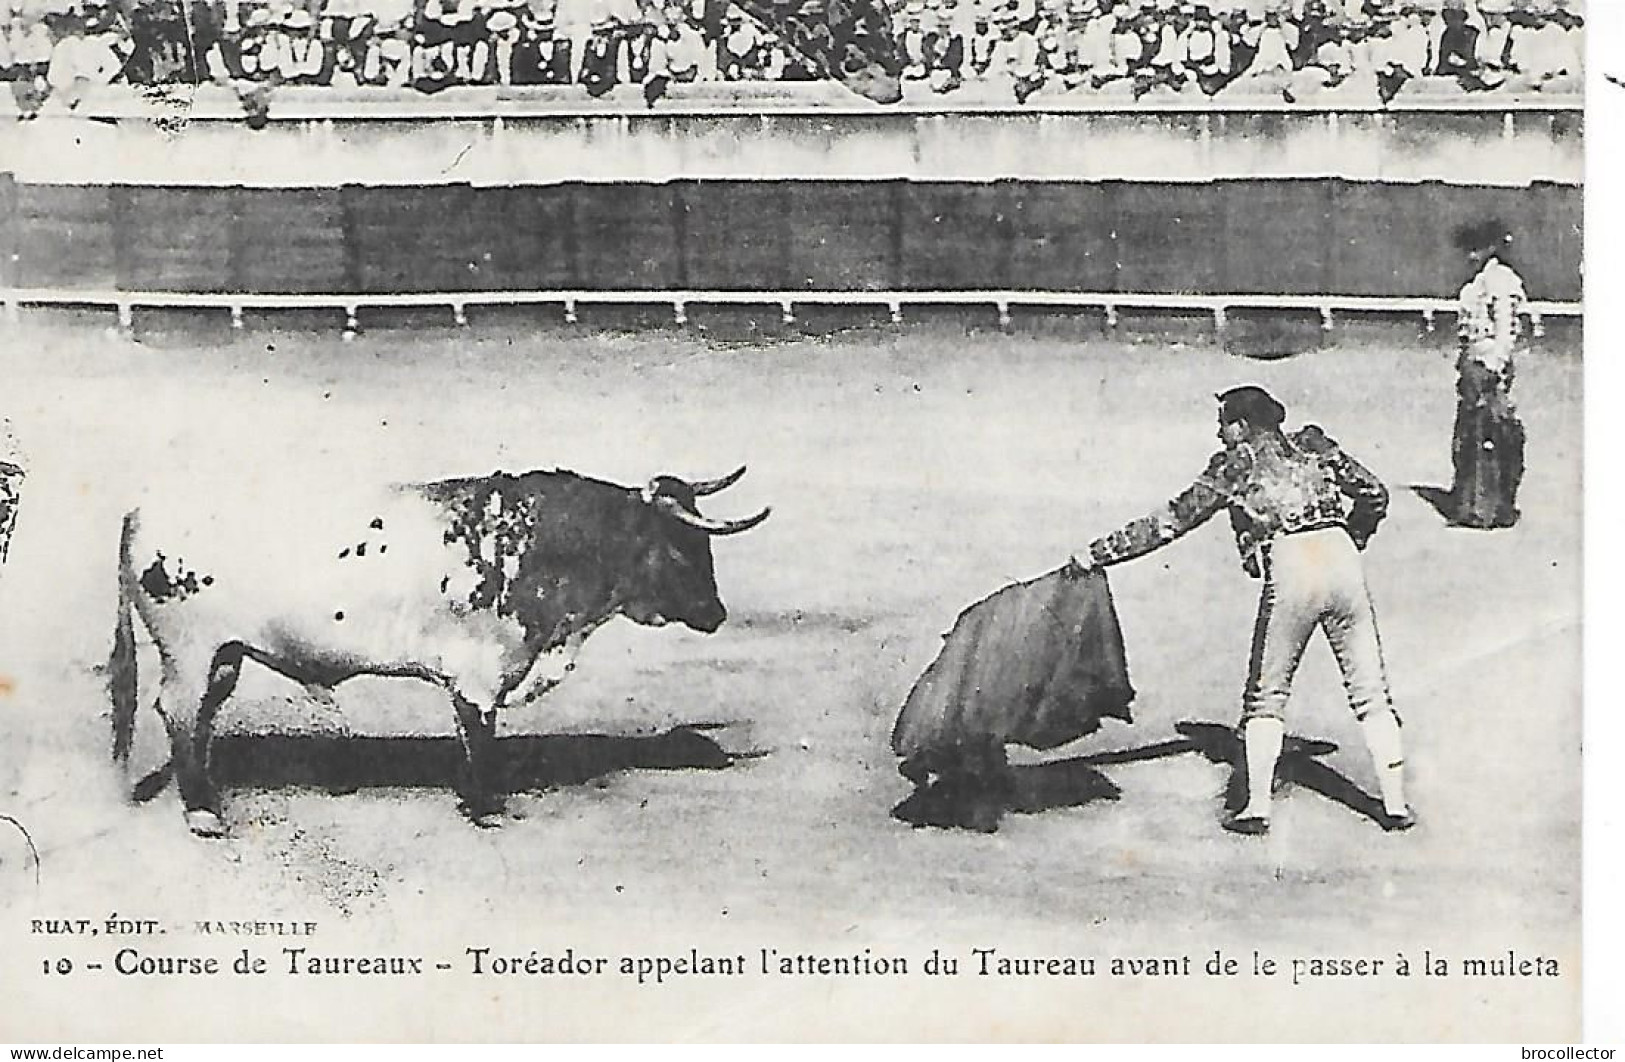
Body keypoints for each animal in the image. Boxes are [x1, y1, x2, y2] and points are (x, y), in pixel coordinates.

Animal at [108, 467, 767, 837]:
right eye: (680, 547)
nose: (716, 614)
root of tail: (140, 510)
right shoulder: (479, 675)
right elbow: (480, 741)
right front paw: (487, 809)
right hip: (189, 651)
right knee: (179, 714)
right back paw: (203, 814)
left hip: (224, 654)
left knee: (200, 718)